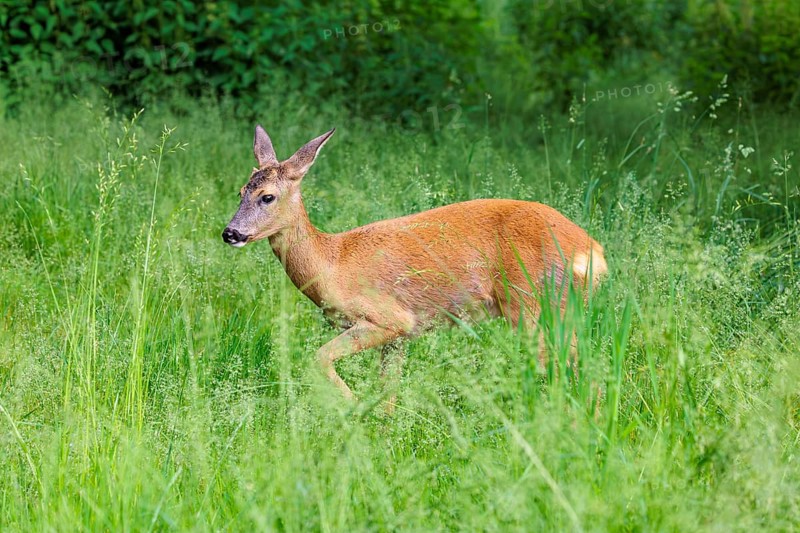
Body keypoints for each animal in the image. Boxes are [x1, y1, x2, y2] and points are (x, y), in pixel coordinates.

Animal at [222, 125, 607, 409]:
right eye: (240, 191)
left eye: (267, 196)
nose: (230, 233)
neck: (334, 262)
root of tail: (593, 253)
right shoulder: (400, 337)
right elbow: (388, 394)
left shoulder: (389, 318)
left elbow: (318, 358)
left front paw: (353, 407)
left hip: (532, 304)